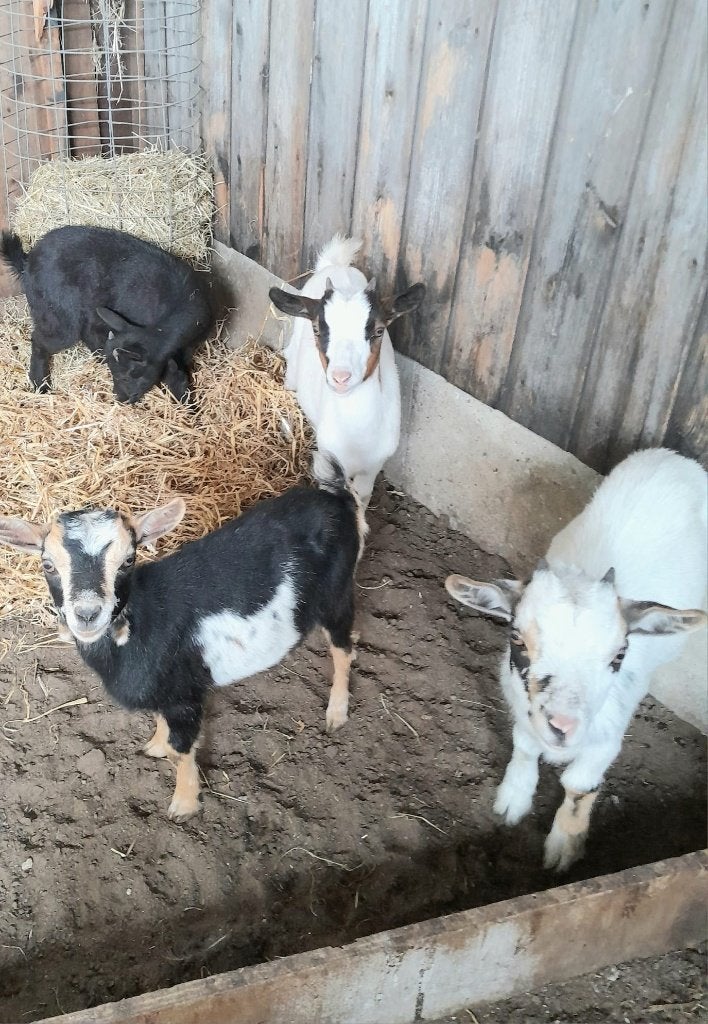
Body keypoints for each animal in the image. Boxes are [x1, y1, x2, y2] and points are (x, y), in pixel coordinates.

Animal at [0, 225, 214, 403]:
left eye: (129, 374)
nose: (121, 398)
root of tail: (27, 262)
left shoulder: (182, 349)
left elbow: (177, 373)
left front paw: (189, 407)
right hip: (56, 312)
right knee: (41, 339)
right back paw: (40, 385)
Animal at [0, 454, 366, 820]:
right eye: (47, 565)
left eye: (128, 560)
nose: (87, 614)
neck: (140, 622)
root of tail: (338, 500)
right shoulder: (164, 692)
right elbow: (162, 723)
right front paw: (156, 746)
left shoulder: (184, 696)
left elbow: (183, 748)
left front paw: (184, 804)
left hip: (334, 593)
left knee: (342, 648)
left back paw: (336, 712)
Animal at [269, 235, 425, 506]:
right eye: (317, 329)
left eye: (379, 331)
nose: (341, 377)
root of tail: (336, 264)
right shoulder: (327, 464)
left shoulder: (372, 468)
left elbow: (361, 497)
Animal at [445, 448, 707, 871]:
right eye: (517, 638)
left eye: (620, 654)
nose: (563, 727)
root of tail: (672, 456)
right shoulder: (525, 714)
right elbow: (524, 747)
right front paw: (513, 798)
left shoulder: (607, 737)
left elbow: (579, 785)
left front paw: (565, 845)